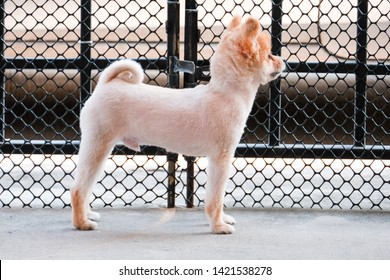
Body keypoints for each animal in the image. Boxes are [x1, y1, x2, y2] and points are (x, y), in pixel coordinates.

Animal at [71, 15, 284, 234]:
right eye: (269, 56)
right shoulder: (221, 158)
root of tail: (106, 85)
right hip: (98, 145)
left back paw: (88, 214)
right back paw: (82, 223)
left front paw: (223, 219)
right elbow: (216, 197)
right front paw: (218, 226)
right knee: (78, 188)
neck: (225, 92)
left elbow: (217, 196)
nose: (281, 60)